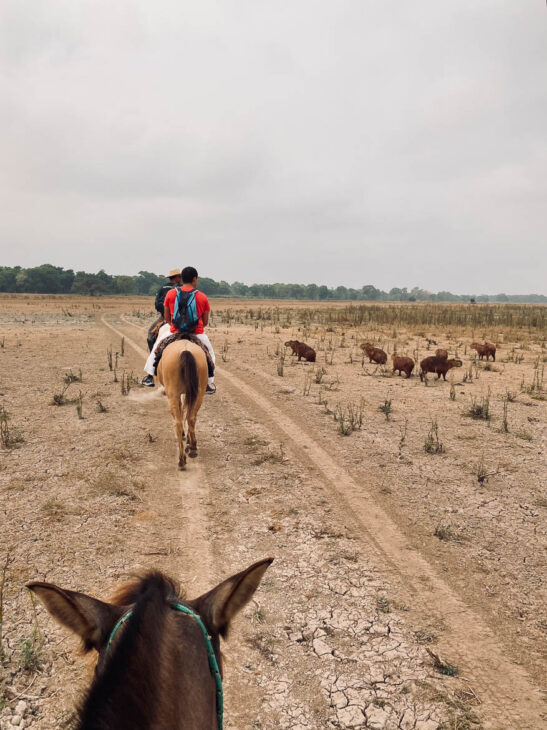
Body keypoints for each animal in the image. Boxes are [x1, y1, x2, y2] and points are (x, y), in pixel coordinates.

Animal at [157, 339, 208, 469]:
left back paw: (182, 459)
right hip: (199, 393)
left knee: (178, 423)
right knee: (191, 418)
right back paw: (193, 449)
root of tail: (186, 350)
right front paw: (189, 441)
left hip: (173, 394)